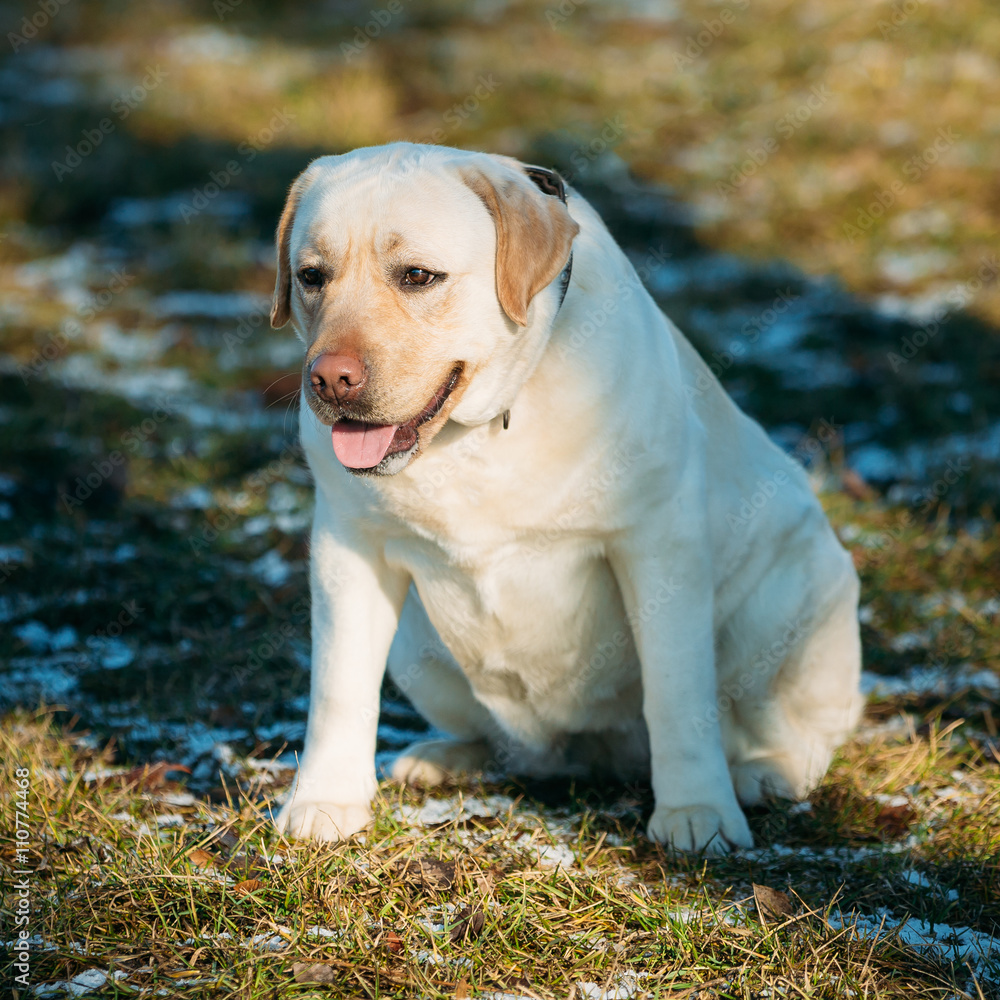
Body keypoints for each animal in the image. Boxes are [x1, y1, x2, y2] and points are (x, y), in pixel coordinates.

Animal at [270, 145, 864, 856]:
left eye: (417, 276)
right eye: (311, 276)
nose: (329, 379)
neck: (483, 428)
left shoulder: (658, 545)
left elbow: (678, 693)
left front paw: (697, 812)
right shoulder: (348, 547)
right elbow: (338, 685)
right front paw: (326, 802)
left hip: (794, 600)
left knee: (800, 733)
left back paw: (765, 774)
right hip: (418, 645)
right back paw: (446, 757)